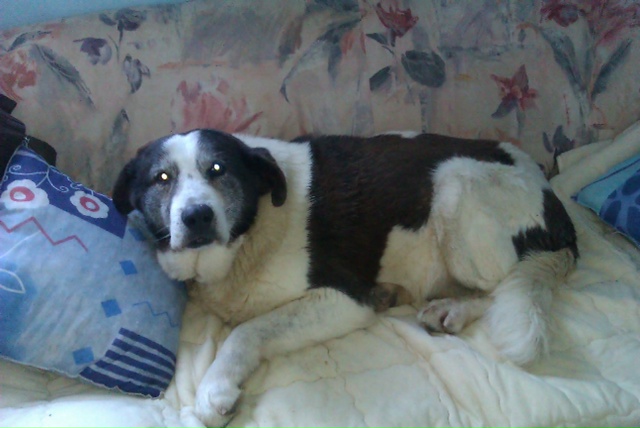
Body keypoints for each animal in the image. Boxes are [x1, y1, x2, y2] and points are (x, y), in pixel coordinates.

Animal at [113, 129, 578, 428]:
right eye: (162, 178)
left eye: (217, 169)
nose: (197, 216)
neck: (252, 232)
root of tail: (554, 204)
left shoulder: (345, 299)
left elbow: (247, 330)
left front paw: (216, 387)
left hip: (454, 184)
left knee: (501, 285)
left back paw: (453, 309)